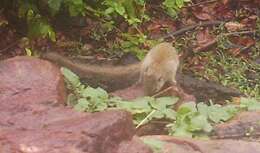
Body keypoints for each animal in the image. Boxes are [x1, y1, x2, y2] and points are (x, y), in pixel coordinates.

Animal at [41, 42, 180, 95]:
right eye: (145, 87)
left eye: (156, 89)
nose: (149, 96)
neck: (157, 68)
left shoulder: (171, 71)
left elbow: (172, 78)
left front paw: (173, 83)